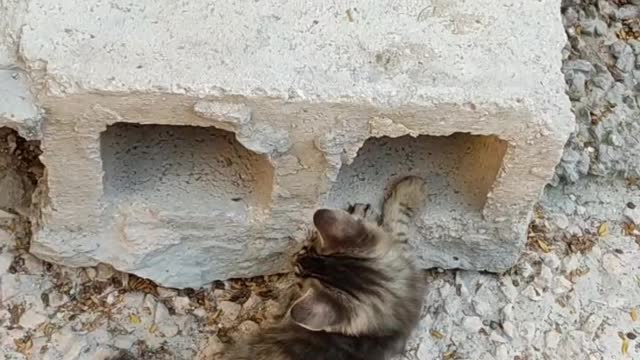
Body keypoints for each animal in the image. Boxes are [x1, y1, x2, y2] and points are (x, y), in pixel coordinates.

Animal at [218, 176, 428, 360]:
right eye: (305, 246)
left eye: (299, 284)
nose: (293, 258)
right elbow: (396, 228)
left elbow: (397, 228)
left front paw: (407, 192)